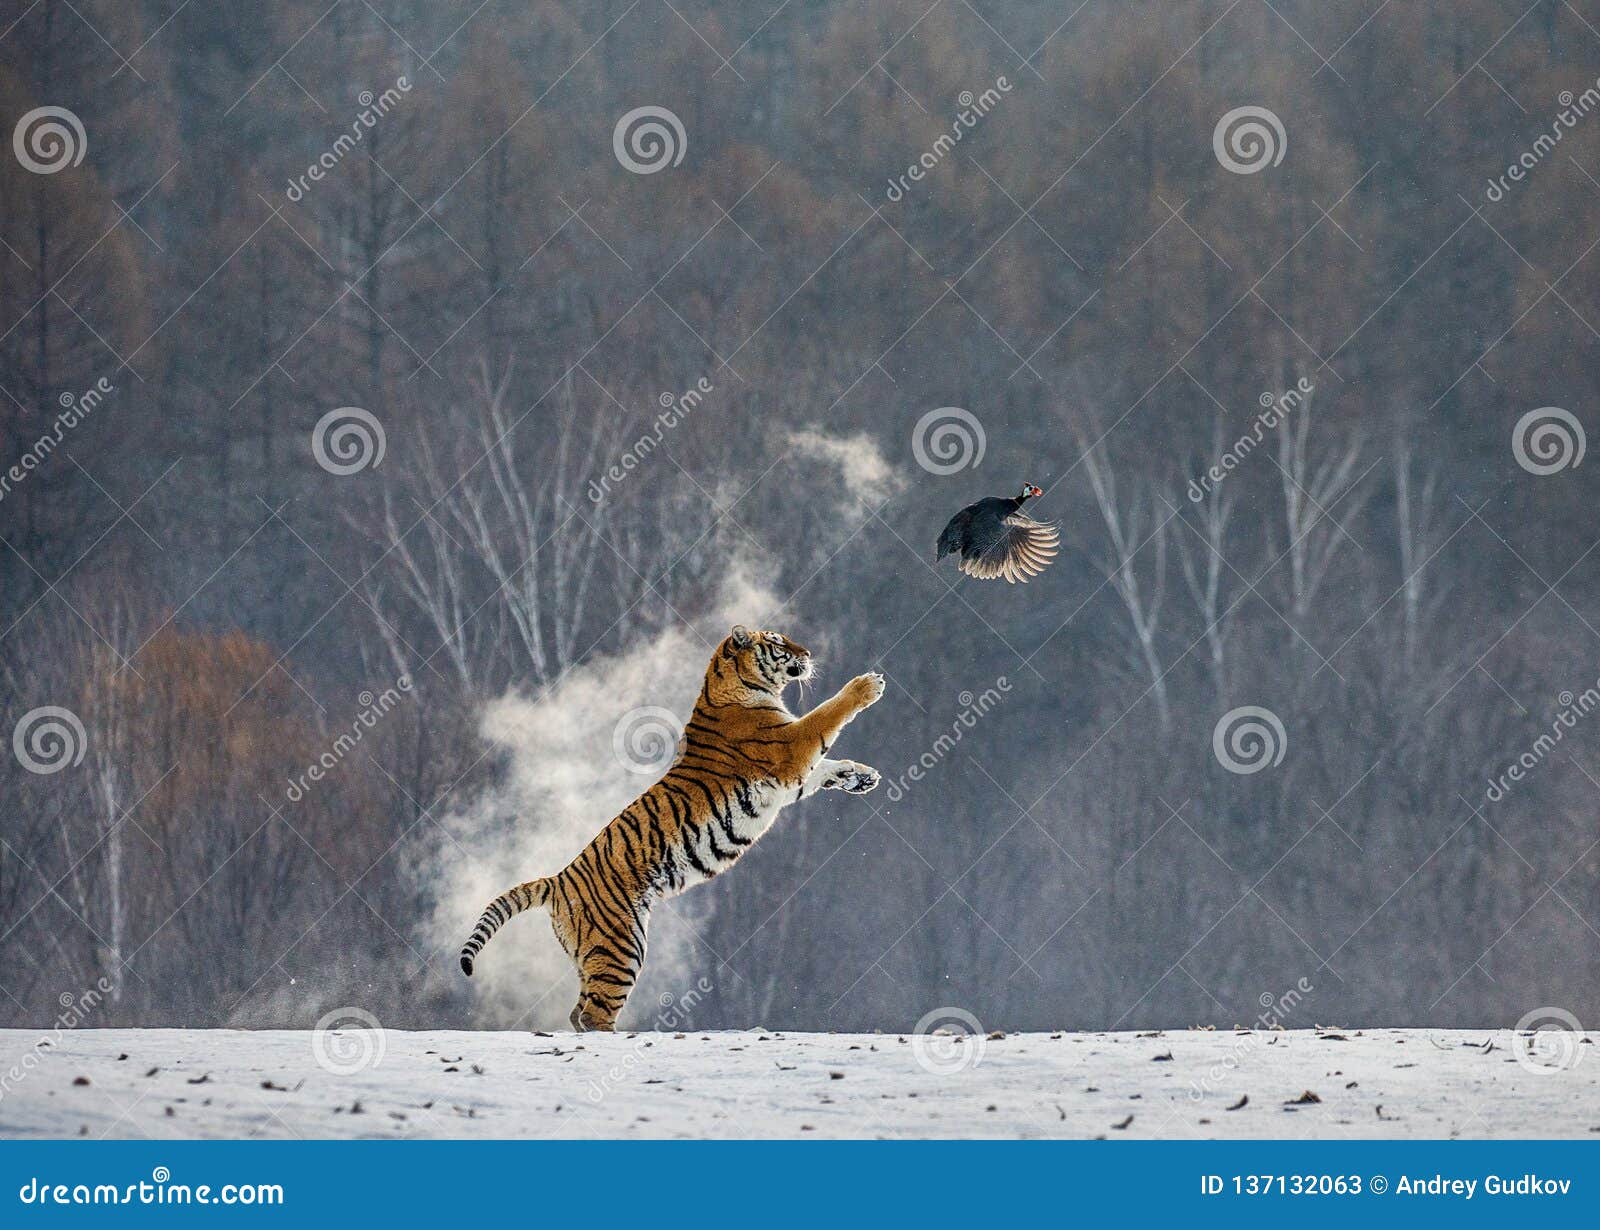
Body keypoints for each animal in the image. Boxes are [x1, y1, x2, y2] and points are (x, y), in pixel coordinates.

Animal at [460, 623, 889, 1023]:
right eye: (778, 642)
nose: (809, 653)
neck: (740, 686)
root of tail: (559, 879)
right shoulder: (791, 749)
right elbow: (825, 716)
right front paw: (867, 686)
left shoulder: (791, 779)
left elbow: (829, 766)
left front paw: (862, 776)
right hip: (622, 946)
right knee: (593, 1014)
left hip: (596, 953)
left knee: (578, 1012)